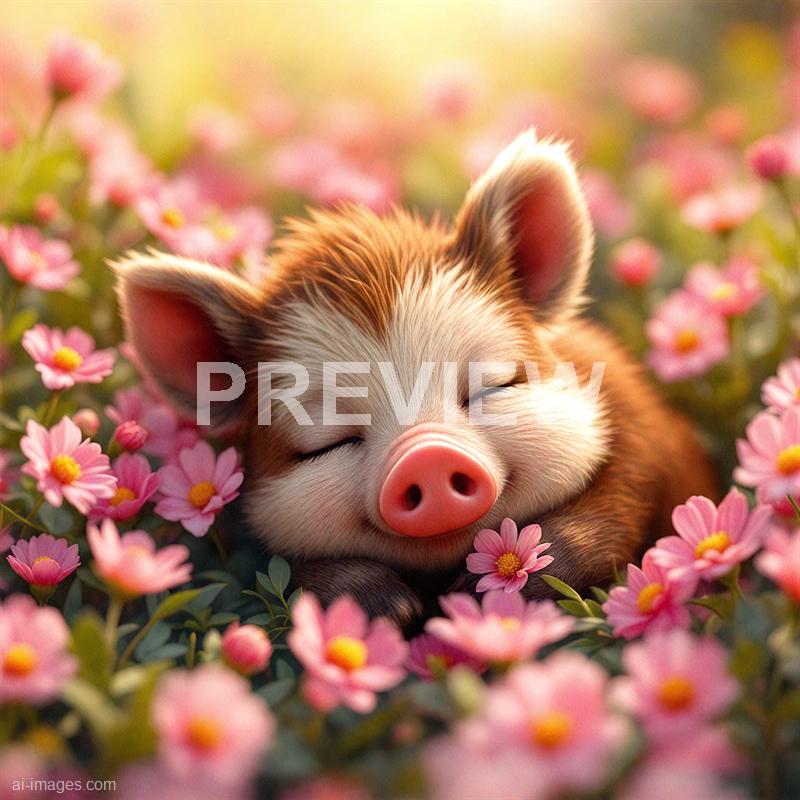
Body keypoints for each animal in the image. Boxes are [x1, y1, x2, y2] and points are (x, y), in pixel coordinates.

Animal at [114, 130, 717, 627]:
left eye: (494, 386)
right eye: (325, 443)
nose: (427, 455)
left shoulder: (645, 437)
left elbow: (618, 503)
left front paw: (480, 594)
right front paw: (390, 609)